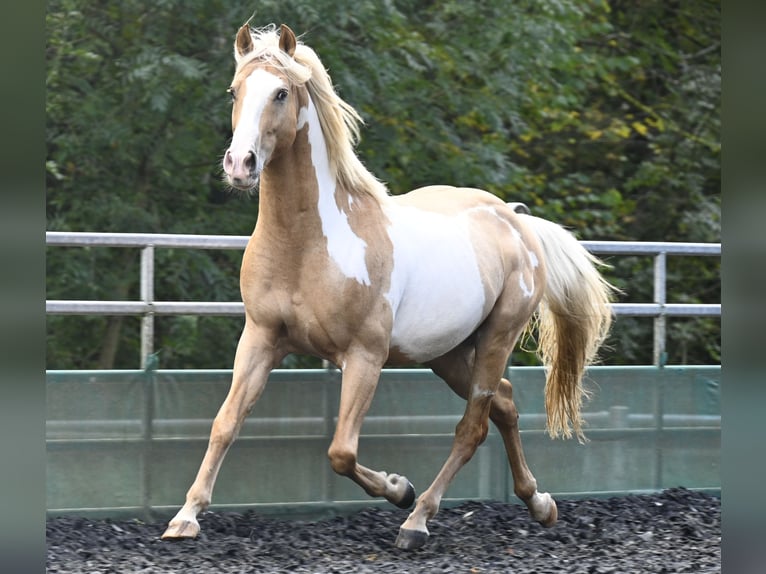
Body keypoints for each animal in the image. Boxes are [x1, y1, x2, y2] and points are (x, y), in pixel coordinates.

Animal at [162, 24, 616, 552]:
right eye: (235, 92)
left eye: (280, 93)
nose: (241, 164)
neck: (307, 245)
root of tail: (515, 220)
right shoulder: (261, 338)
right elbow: (225, 423)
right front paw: (185, 517)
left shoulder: (365, 355)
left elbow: (340, 451)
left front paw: (399, 489)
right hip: (447, 353)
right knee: (502, 403)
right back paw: (540, 504)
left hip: (497, 338)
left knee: (472, 427)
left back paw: (417, 519)